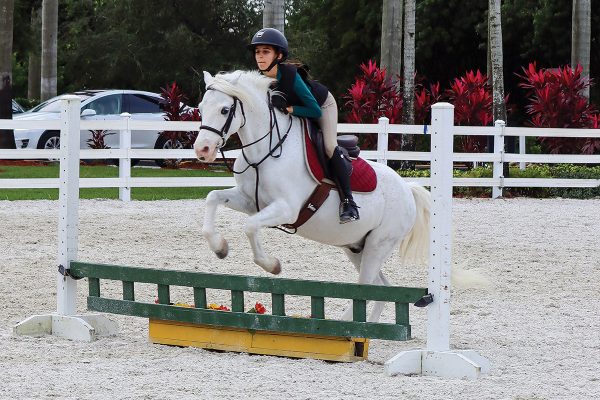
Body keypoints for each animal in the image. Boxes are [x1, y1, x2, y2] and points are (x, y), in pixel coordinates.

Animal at [195, 71, 428, 322]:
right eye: (200, 108)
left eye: (224, 110)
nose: (202, 150)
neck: (265, 152)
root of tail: (407, 189)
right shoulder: (249, 201)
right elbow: (213, 197)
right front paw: (219, 248)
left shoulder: (286, 209)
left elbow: (249, 226)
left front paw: (272, 265)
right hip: (356, 247)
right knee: (380, 288)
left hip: (379, 244)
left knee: (365, 288)